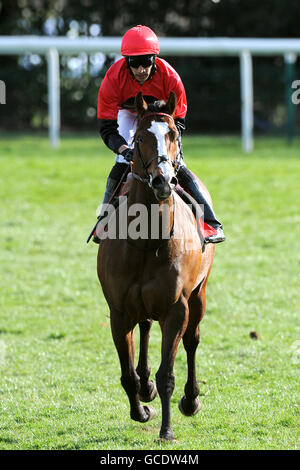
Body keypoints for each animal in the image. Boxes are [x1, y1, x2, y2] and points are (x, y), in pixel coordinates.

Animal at [98, 92, 216, 440]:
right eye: (138, 139)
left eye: (174, 134)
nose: (164, 180)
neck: (146, 241)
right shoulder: (118, 311)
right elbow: (127, 374)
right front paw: (141, 409)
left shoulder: (176, 309)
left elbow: (168, 374)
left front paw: (167, 430)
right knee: (146, 326)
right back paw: (145, 385)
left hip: (199, 294)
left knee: (192, 340)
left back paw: (190, 399)